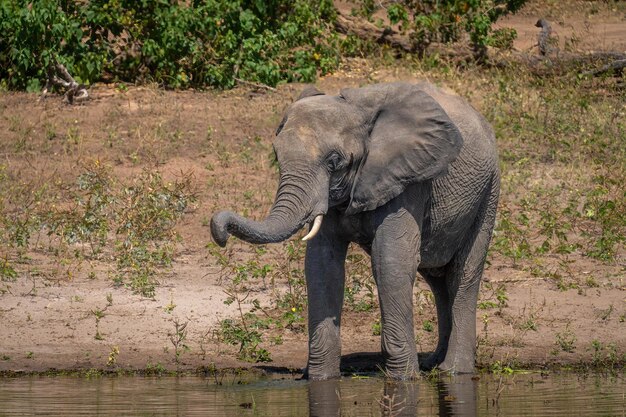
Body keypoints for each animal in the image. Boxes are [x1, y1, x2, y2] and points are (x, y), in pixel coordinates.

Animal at [212, 80, 500, 376]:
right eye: (276, 156)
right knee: (436, 279)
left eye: (334, 161)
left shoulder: (408, 180)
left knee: (462, 274)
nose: (220, 232)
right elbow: (322, 265)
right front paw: (320, 378)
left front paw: (403, 379)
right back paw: (433, 364)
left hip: (489, 191)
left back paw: (453, 371)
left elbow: (390, 260)